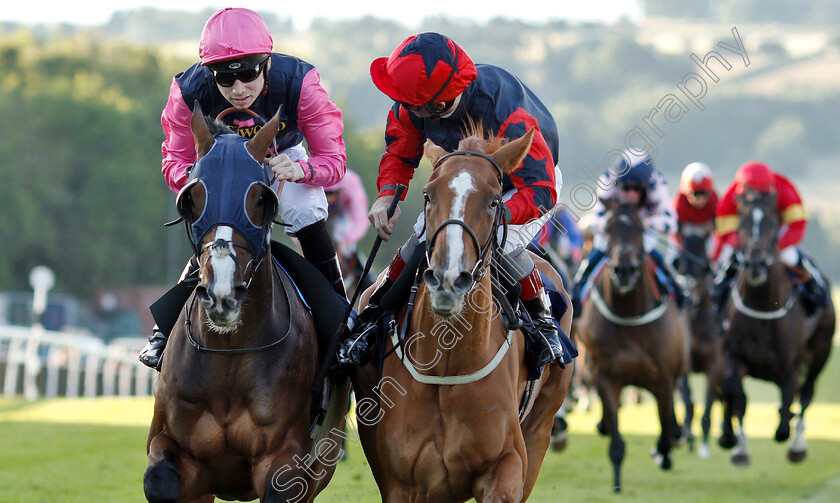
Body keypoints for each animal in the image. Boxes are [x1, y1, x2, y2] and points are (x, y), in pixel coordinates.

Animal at [146, 106, 350, 503]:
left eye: (260, 200)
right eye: (192, 199)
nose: (222, 293)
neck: (229, 353)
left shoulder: (287, 459)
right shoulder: (173, 447)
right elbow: (159, 480)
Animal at [352, 127, 576, 503]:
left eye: (494, 201)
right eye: (427, 195)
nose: (448, 279)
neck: (447, 364)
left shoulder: (507, 466)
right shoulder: (401, 483)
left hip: (541, 427)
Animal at [576, 204, 688, 492]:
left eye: (639, 228)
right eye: (608, 229)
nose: (624, 269)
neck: (630, 315)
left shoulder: (663, 378)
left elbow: (665, 429)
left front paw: (663, 452)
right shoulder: (605, 375)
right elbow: (616, 441)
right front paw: (617, 483)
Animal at [716, 191, 832, 466]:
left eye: (772, 221)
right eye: (742, 223)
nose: (755, 263)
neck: (762, 309)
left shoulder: (790, 366)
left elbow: (786, 412)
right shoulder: (733, 356)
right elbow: (737, 395)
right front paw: (738, 447)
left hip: (821, 351)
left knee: (807, 392)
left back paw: (797, 445)